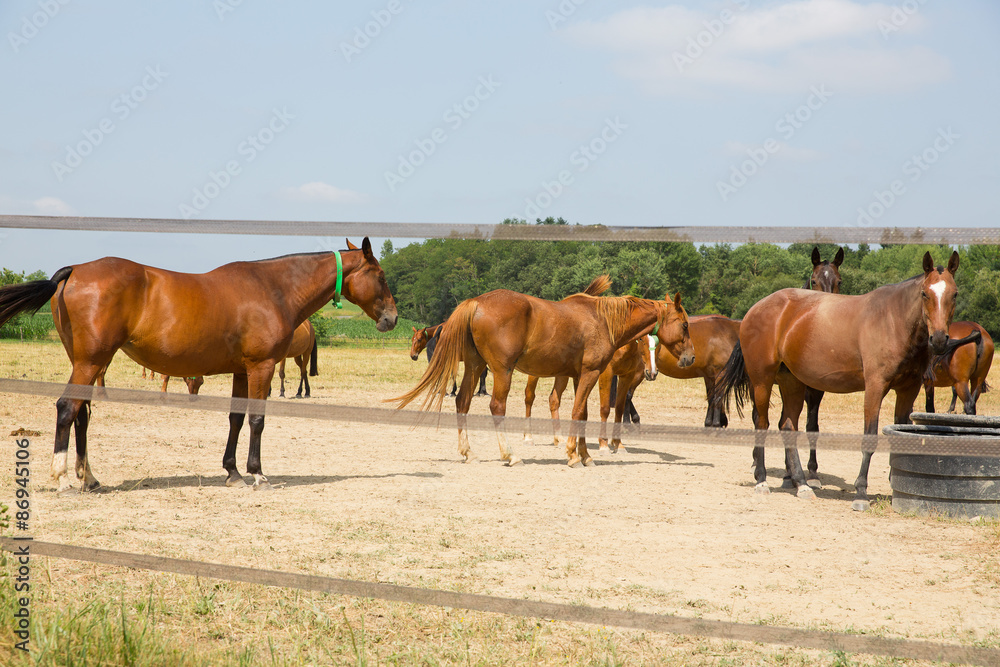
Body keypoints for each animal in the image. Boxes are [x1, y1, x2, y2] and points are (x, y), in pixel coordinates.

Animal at [0, 237, 398, 494]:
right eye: (380, 276)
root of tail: (75, 271)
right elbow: (257, 420)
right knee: (68, 408)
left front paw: (232, 472)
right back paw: (64, 479)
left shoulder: (242, 370)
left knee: (82, 414)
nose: (392, 318)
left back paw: (90, 478)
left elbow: (236, 418)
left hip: (88, 362)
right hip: (91, 361)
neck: (273, 288)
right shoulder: (263, 367)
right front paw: (257, 474)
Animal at [392, 282, 696, 470]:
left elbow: (583, 414)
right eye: (684, 324)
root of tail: (475, 302)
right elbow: (577, 412)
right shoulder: (591, 373)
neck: (602, 320)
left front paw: (585, 455)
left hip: (476, 367)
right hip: (501, 371)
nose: (690, 358)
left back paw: (468, 453)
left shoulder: (579, 376)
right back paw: (511, 455)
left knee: (462, 403)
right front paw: (573, 455)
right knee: (497, 406)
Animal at [716, 252, 956, 512]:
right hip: (762, 381)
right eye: (925, 293)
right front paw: (861, 492)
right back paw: (761, 480)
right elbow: (869, 437)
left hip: (792, 383)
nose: (939, 340)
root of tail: (755, 309)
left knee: (788, 426)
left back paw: (802, 484)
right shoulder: (875, 387)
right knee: (761, 423)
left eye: (954, 294)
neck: (893, 321)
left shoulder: (908, 390)